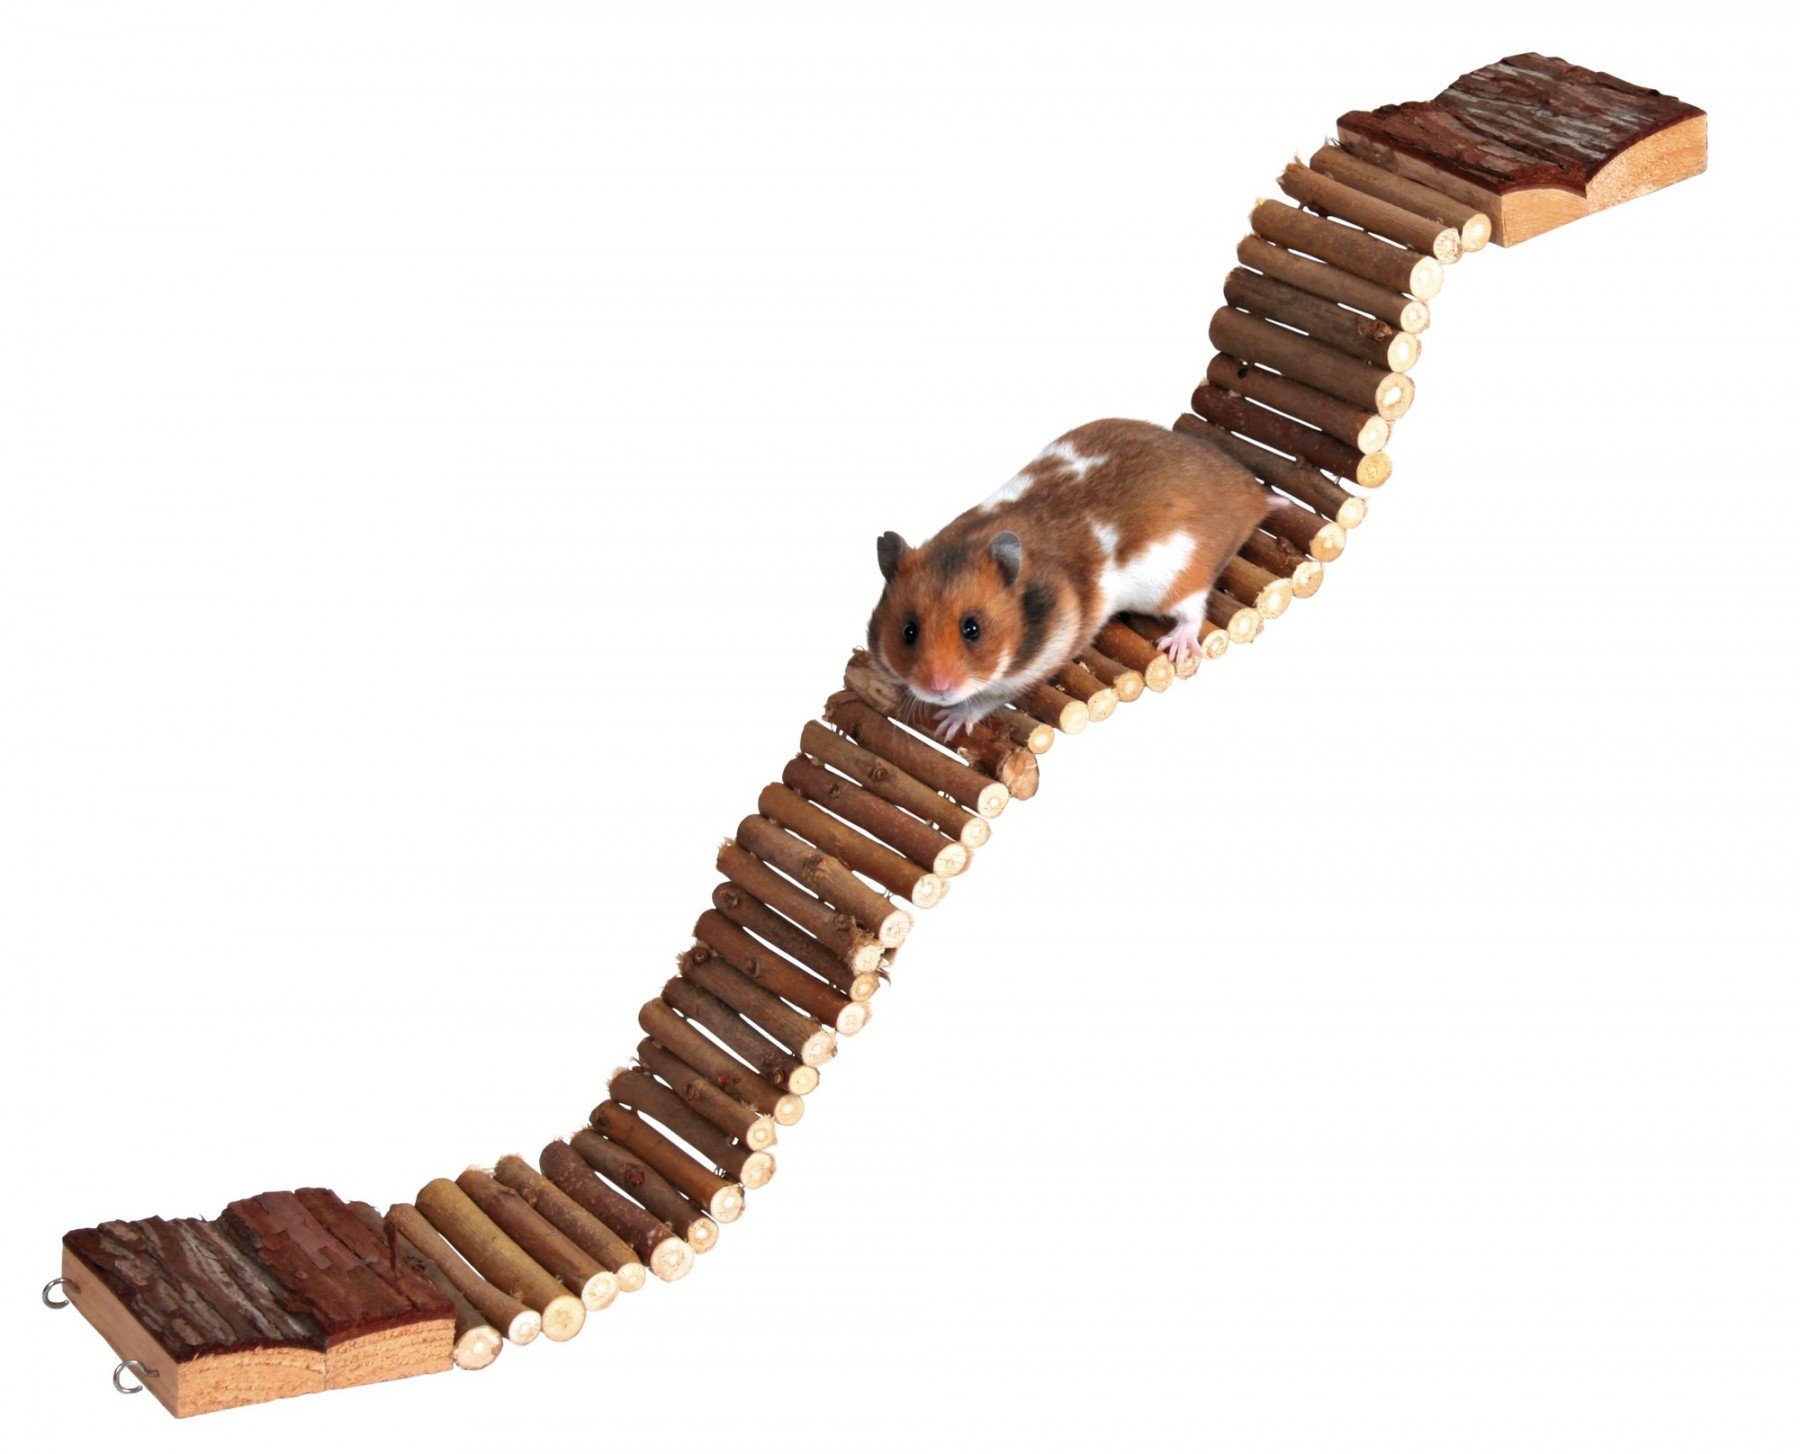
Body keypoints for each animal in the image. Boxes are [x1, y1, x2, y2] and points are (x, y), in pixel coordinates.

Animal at [867, 417, 1271, 738]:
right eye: (908, 631)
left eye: (972, 629)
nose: (938, 689)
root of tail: (1252, 495)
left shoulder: (1042, 661)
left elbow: (990, 698)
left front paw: (948, 724)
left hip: (1175, 581)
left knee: (1194, 611)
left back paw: (1175, 645)